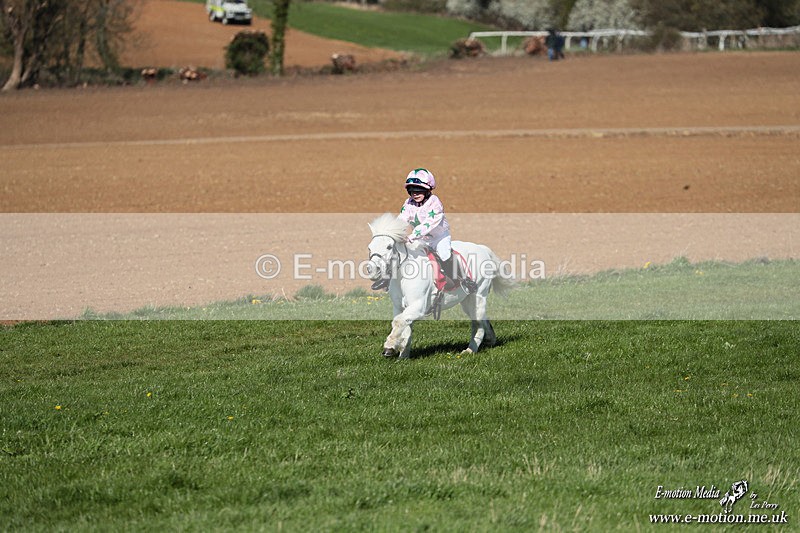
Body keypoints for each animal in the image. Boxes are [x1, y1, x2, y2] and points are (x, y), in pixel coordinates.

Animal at [366, 213, 515, 359]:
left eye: (389, 247)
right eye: (369, 247)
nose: (372, 270)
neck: (404, 274)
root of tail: (483, 249)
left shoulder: (419, 306)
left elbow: (398, 322)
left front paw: (389, 346)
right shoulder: (400, 307)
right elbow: (404, 327)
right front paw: (403, 355)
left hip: (477, 296)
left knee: (478, 323)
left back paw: (470, 350)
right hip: (466, 300)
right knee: (482, 319)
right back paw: (490, 339)